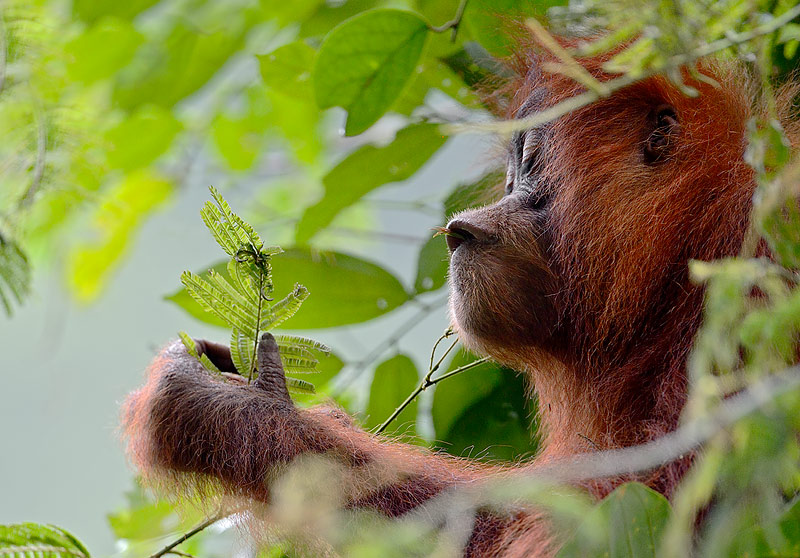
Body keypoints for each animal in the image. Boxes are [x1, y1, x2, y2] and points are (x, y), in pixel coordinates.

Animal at [122, 45, 794, 556]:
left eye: (530, 165)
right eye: (510, 174)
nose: (460, 229)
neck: (689, 263)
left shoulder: (753, 299)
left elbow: (620, 511)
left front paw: (233, 412)